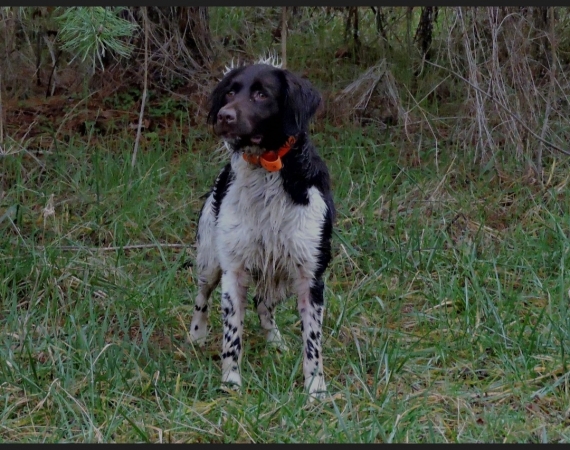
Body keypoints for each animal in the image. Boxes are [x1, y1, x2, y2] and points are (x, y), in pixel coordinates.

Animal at [189, 60, 336, 400]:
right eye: (231, 92)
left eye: (261, 94)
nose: (224, 116)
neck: (267, 175)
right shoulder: (233, 270)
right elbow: (232, 337)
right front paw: (231, 382)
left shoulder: (310, 275)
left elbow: (312, 342)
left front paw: (315, 388)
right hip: (209, 260)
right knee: (202, 296)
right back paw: (197, 335)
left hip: (280, 276)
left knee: (264, 304)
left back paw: (276, 341)